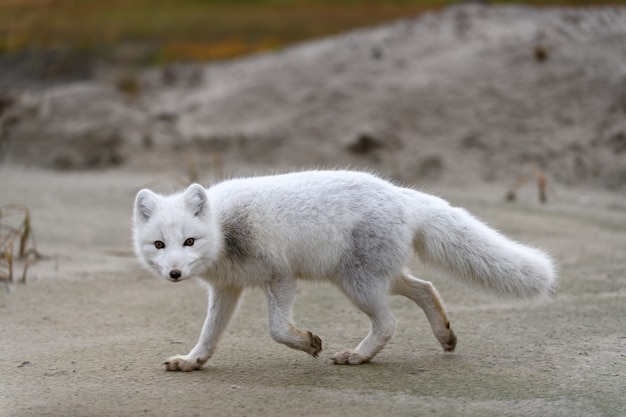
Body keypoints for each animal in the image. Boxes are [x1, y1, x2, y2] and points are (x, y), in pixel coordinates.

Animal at [133, 169, 556, 370]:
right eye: (160, 245)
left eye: (189, 242)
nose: (174, 274)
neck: (224, 229)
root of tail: (401, 194)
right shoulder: (227, 289)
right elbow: (208, 334)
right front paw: (192, 361)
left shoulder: (280, 276)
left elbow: (276, 330)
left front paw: (308, 343)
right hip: (371, 278)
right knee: (425, 287)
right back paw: (445, 336)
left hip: (357, 285)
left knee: (389, 322)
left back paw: (358, 356)